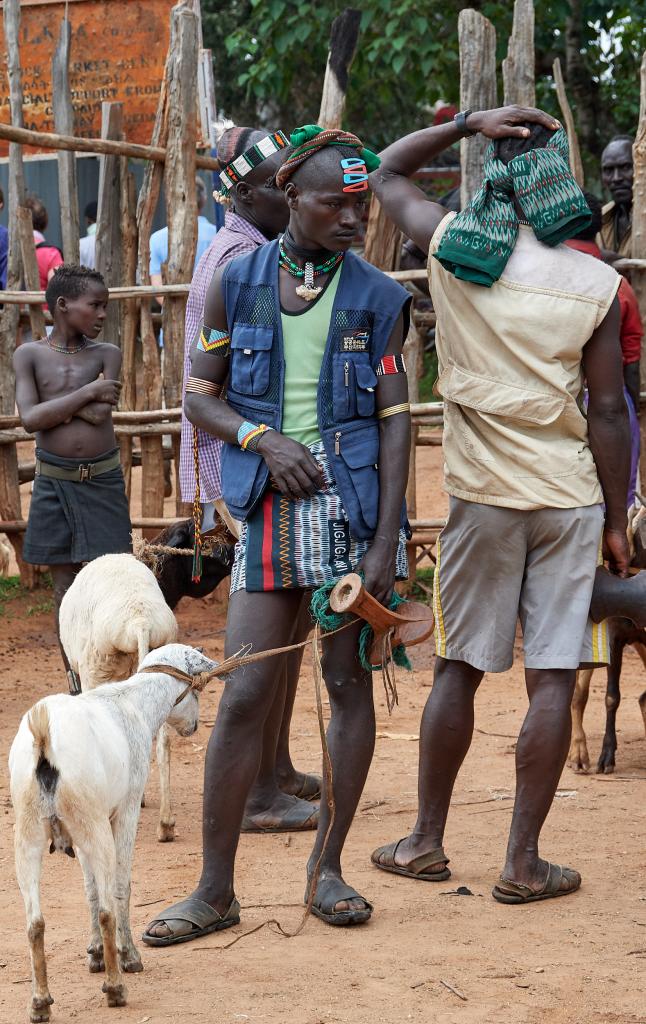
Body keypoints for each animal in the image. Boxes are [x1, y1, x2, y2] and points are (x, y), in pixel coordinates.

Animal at [10, 643, 216, 1019]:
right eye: (196, 690)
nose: (193, 727)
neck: (134, 702)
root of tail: (45, 741)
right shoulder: (125, 809)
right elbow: (121, 886)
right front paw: (127, 955)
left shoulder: (78, 835)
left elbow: (90, 889)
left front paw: (93, 955)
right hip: (92, 826)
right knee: (108, 907)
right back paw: (115, 987)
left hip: (30, 832)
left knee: (35, 922)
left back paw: (40, 1003)